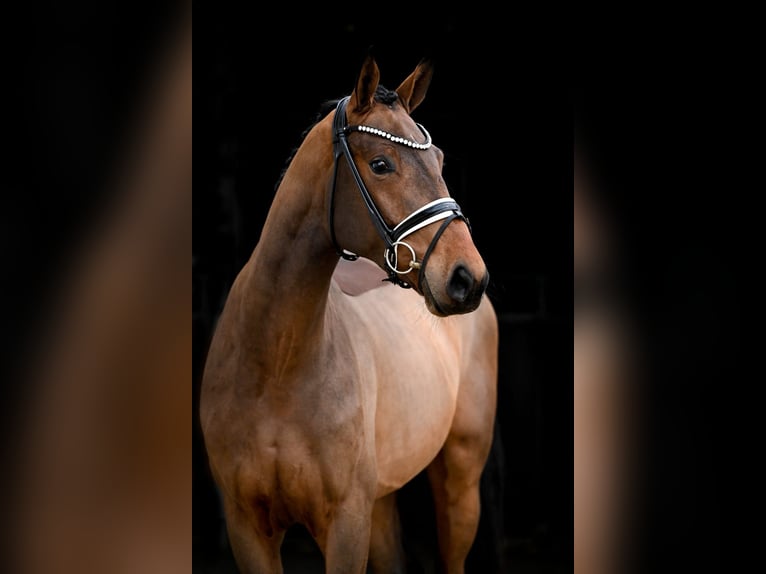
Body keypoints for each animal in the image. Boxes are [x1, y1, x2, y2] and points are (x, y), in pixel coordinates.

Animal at [199, 55, 498, 574]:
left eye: (440, 160)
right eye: (381, 164)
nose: (468, 278)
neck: (275, 364)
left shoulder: (345, 524)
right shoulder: (247, 528)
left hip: (459, 479)